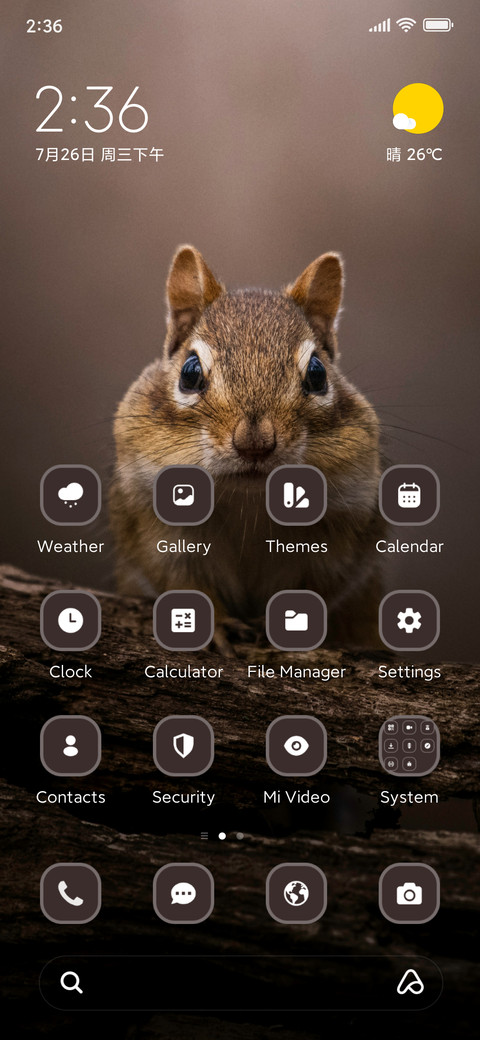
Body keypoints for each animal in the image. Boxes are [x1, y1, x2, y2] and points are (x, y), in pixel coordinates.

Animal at [110, 245, 384, 653]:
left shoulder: (344, 529)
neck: (248, 500)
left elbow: (317, 588)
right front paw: (216, 623)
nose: (255, 444)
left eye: (317, 373)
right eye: (189, 372)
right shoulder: (153, 524)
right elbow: (181, 582)